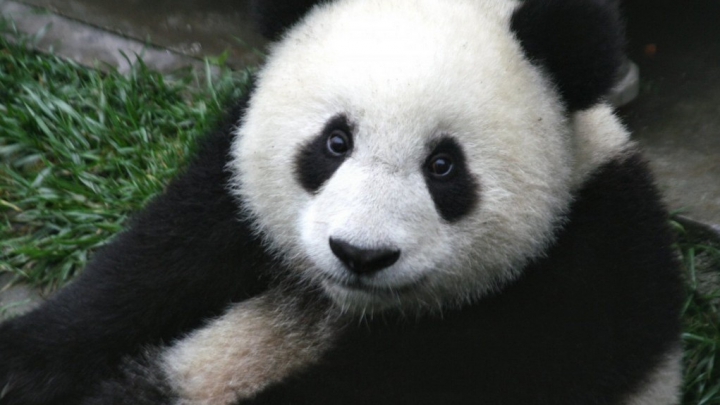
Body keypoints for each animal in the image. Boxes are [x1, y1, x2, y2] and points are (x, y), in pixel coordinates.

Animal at [0, 0, 684, 404]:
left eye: (443, 166)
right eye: (335, 142)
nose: (360, 254)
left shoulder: (580, 283)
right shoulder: (231, 186)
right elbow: (154, 263)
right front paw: (22, 364)